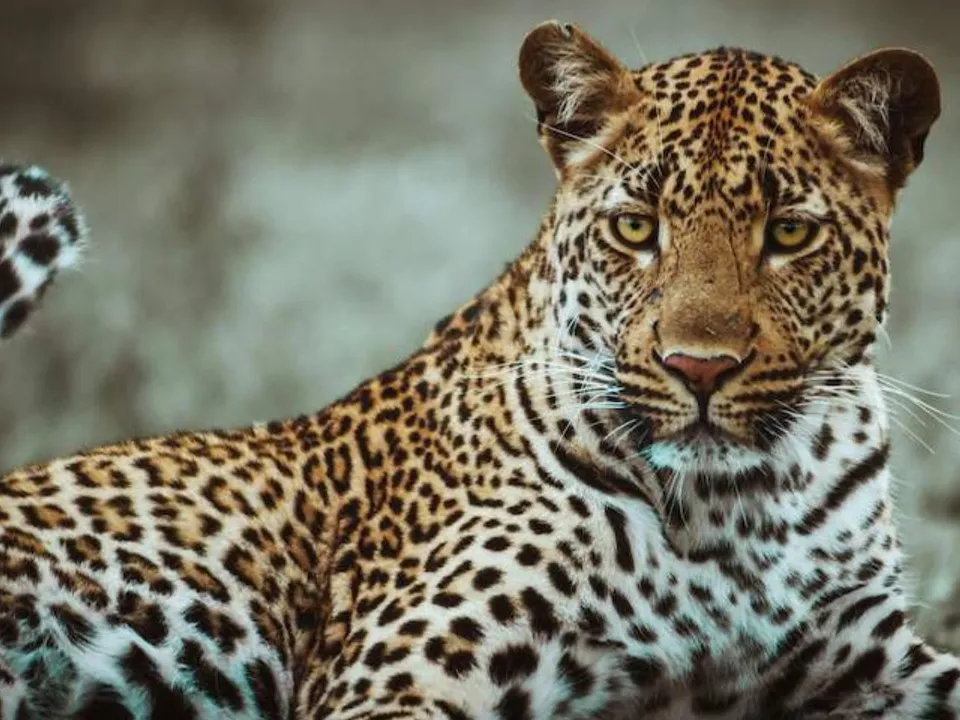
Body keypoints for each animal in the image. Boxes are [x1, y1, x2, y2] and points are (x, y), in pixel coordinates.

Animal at [1, 19, 959, 720]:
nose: (698, 368)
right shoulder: (400, 674)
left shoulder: (864, 657)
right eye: (636, 227)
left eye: (789, 233)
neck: (733, 509)